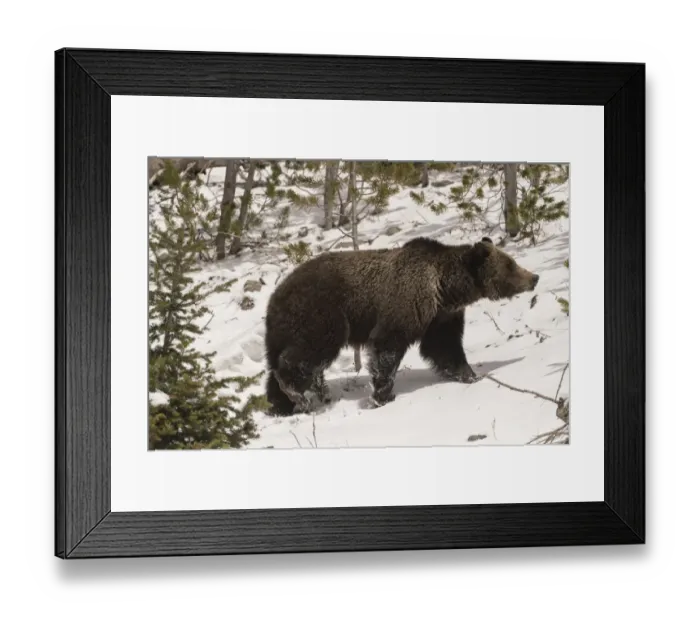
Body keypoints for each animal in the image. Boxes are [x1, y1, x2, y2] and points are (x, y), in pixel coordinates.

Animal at [263, 236, 539, 415]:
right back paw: (297, 393)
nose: (534, 277)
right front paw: (381, 396)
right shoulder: (405, 305)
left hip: (282, 330)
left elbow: (445, 348)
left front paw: (470, 374)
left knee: (275, 364)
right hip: (321, 314)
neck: (444, 288)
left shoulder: (440, 318)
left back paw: (282, 405)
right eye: (510, 264)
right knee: (309, 350)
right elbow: (387, 347)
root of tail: (275, 295)